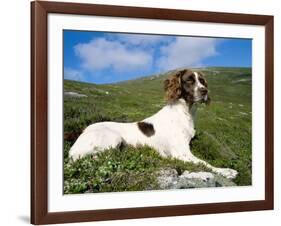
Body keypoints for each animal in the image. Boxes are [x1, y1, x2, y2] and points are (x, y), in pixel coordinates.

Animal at [68, 69, 236, 179]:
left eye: (202, 80)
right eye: (189, 80)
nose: (204, 91)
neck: (185, 112)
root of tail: (82, 131)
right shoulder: (180, 152)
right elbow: (204, 163)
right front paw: (226, 171)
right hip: (113, 137)